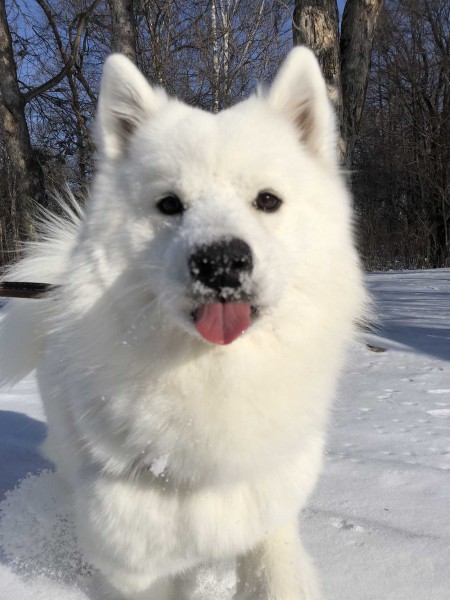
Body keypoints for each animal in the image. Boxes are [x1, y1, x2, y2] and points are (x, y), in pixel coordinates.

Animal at [0, 48, 366, 600]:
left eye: (267, 200)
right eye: (170, 204)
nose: (221, 262)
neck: (214, 376)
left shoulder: (268, 505)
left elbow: (274, 569)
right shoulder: (132, 552)